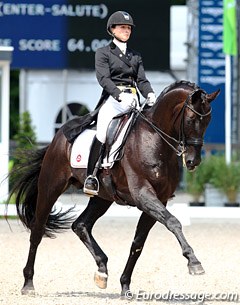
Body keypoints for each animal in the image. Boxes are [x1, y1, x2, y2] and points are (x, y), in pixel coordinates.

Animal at [8, 80, 218, 294]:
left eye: (208, 121)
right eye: (191, 120)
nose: (193, 161)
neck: (154, 138)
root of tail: (58, 136)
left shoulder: (160, 199)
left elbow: (138, 243)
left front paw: (125, 285)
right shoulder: (143, 195)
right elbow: (173, 222)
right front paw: (194, 262)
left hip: (102, 197)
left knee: (80, 225)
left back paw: (102, 270)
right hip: (50, 188)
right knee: (37, 231)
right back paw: (28, 283)